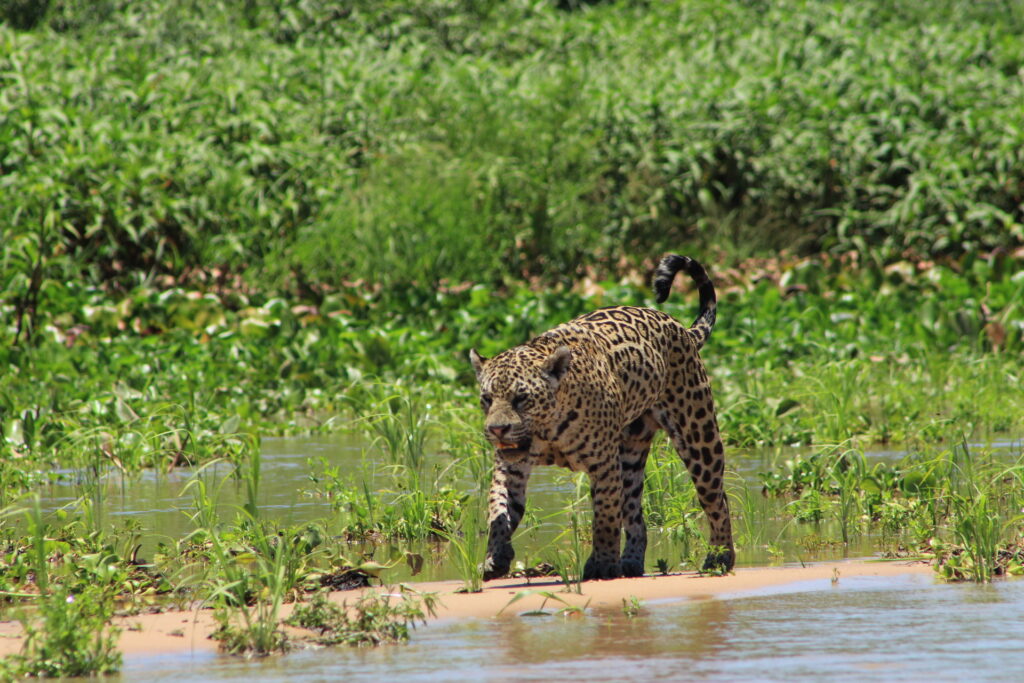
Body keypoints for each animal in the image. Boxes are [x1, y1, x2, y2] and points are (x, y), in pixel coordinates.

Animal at [469, 253, 735, 581]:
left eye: (521, 398)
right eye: (487, 399)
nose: (497, 430)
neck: (547, 432)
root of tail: (680, 327)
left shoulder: (604, 464)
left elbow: (605, 517)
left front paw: (603, 564)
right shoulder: (510, 467)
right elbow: (498, 509)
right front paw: (495, 557)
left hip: (697, 434)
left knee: (716, 498)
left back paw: (720, 558)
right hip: (631, 452)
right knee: (634, 511)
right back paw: (631, 562)